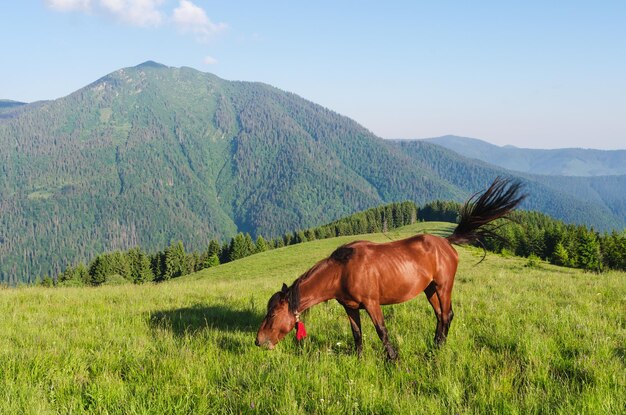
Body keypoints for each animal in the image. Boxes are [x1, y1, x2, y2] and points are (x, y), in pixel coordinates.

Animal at [254, 177, 520, 360]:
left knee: (446, 315)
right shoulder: (351, 308)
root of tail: (446, 243)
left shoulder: (372, 304)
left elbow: (381, 330)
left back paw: (439, 348)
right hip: (430, 289)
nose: (258, 341)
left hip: (444, 286)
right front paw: (359, 358)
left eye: (273, 315)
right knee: (439, 315)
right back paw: (435, 345)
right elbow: (357, 334)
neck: (342, 271)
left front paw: (392, 359)